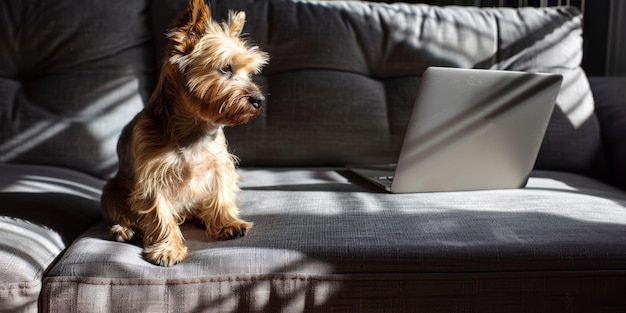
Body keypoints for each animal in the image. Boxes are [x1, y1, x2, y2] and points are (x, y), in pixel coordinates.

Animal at [100, 0, 268, 266]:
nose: (258, 100)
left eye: (250, 73)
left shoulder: (219, 163)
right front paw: (168, 249)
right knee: (123, 211)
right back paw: (124, 229)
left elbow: (221, 192)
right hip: (112, 190)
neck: (193, 127)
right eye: (226, 68)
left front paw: (226, 223)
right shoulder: (152, 177)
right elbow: (160, 216)